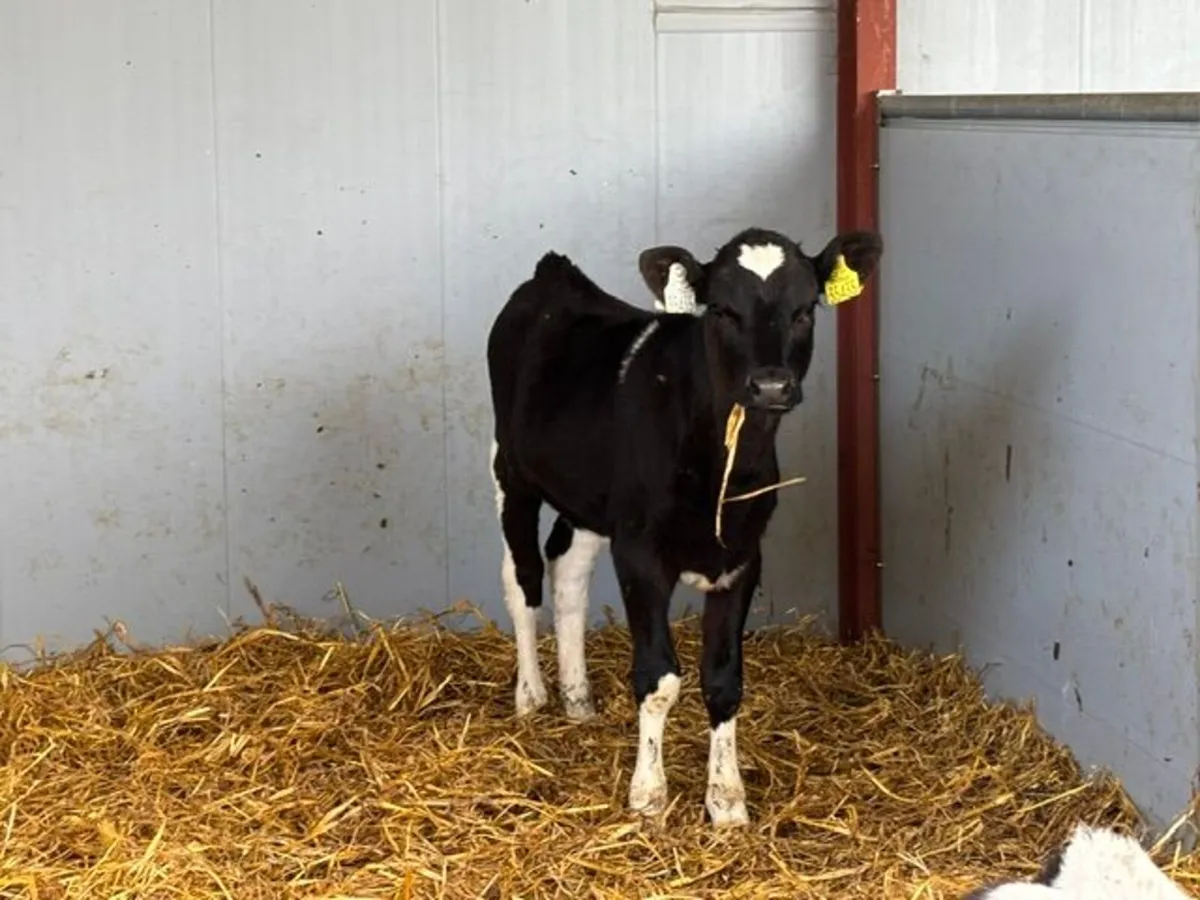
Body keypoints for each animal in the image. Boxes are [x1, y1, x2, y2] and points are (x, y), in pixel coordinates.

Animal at [485, 226, 882, 826]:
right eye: (720, 309)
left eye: (805, 309)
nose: (770, 385)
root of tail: (555, 273)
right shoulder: (641, 555)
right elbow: (658, 678)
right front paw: (648, 795)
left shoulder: (742, 558)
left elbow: (722, 679)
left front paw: (727, 800)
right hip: (512, 471)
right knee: (523, 577)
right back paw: (530, 696)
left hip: (589, 501)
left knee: (567, 570)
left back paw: (577, 698)